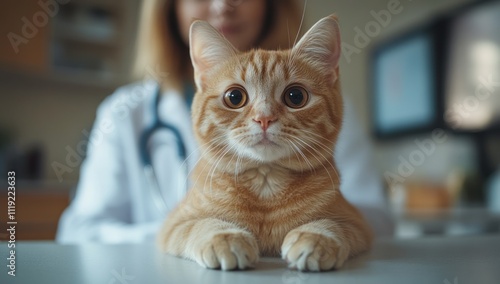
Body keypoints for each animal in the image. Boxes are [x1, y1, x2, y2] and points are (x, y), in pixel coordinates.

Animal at [158, 14, 374, 272]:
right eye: (234, 97)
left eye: (295, 96)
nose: (264, 118)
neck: (265, 184)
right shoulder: (174, 224)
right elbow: (202, 224)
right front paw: (226, 238)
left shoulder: (356, 223)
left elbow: (331, 225)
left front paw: (315, 238)